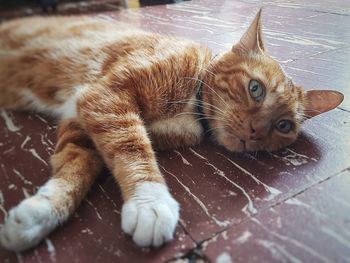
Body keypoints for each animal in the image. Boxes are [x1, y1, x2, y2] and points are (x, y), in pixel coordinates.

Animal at [0, 9, 344, 252]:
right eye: (255, 89)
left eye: (284, 125)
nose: (256, 131)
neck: (193, 109)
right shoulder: (106, 97)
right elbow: (132, 148)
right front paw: (150, 202)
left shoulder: (85, 115)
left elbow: (77, 165)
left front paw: (41, 212)